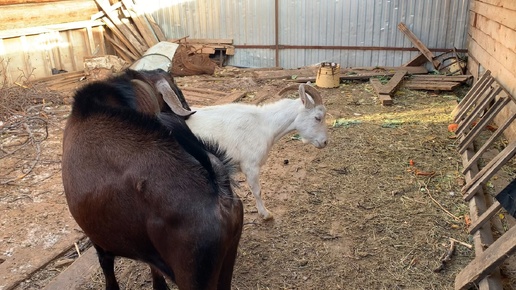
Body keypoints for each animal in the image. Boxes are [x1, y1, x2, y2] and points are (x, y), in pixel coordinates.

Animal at [61, 69, 244, 290]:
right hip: (228, 255)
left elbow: (106, 262)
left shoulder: (97, 236)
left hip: (193, 273)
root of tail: (218, 189)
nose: (187, 108)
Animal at [186, 82, 326, 219]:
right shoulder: (250, 166)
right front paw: (265, 214)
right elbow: (257, 191)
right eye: (317, 117)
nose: (325, 142)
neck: (264, 124)